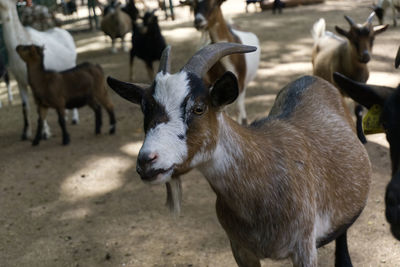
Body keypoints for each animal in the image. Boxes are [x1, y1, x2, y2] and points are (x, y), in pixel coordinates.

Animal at [0, 0, 78, 140]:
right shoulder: (20, 81)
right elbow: (25, 107)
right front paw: (25, 134)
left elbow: (39, 106)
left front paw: (45, 133)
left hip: (72, 65)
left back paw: (74, 119)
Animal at [107, 43, 372, 266]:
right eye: (144, 108)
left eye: (199, 108)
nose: (146, 161)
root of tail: (311, 78)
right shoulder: (240, 249)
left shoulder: (304, 248)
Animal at [310, 12, 390, 144]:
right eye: (353, 40)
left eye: (372, 39)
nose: (365, 56)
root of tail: (321, 35)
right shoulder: (338, 87)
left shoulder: (360, 85)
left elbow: (359, 111)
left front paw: (362, 137)